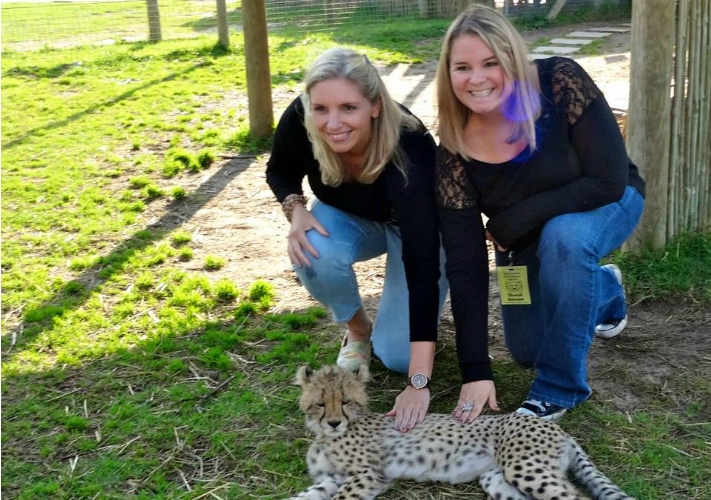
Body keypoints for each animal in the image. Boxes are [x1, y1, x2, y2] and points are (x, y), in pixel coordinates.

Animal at [284, 364, 636, 500]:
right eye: (320, 403)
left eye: (344, 402)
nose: (333, 423)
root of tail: (552, 426)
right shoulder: (332, 479)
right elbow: (305, 496)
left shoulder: (371, 475)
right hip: (496, 479)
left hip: (524, 467)